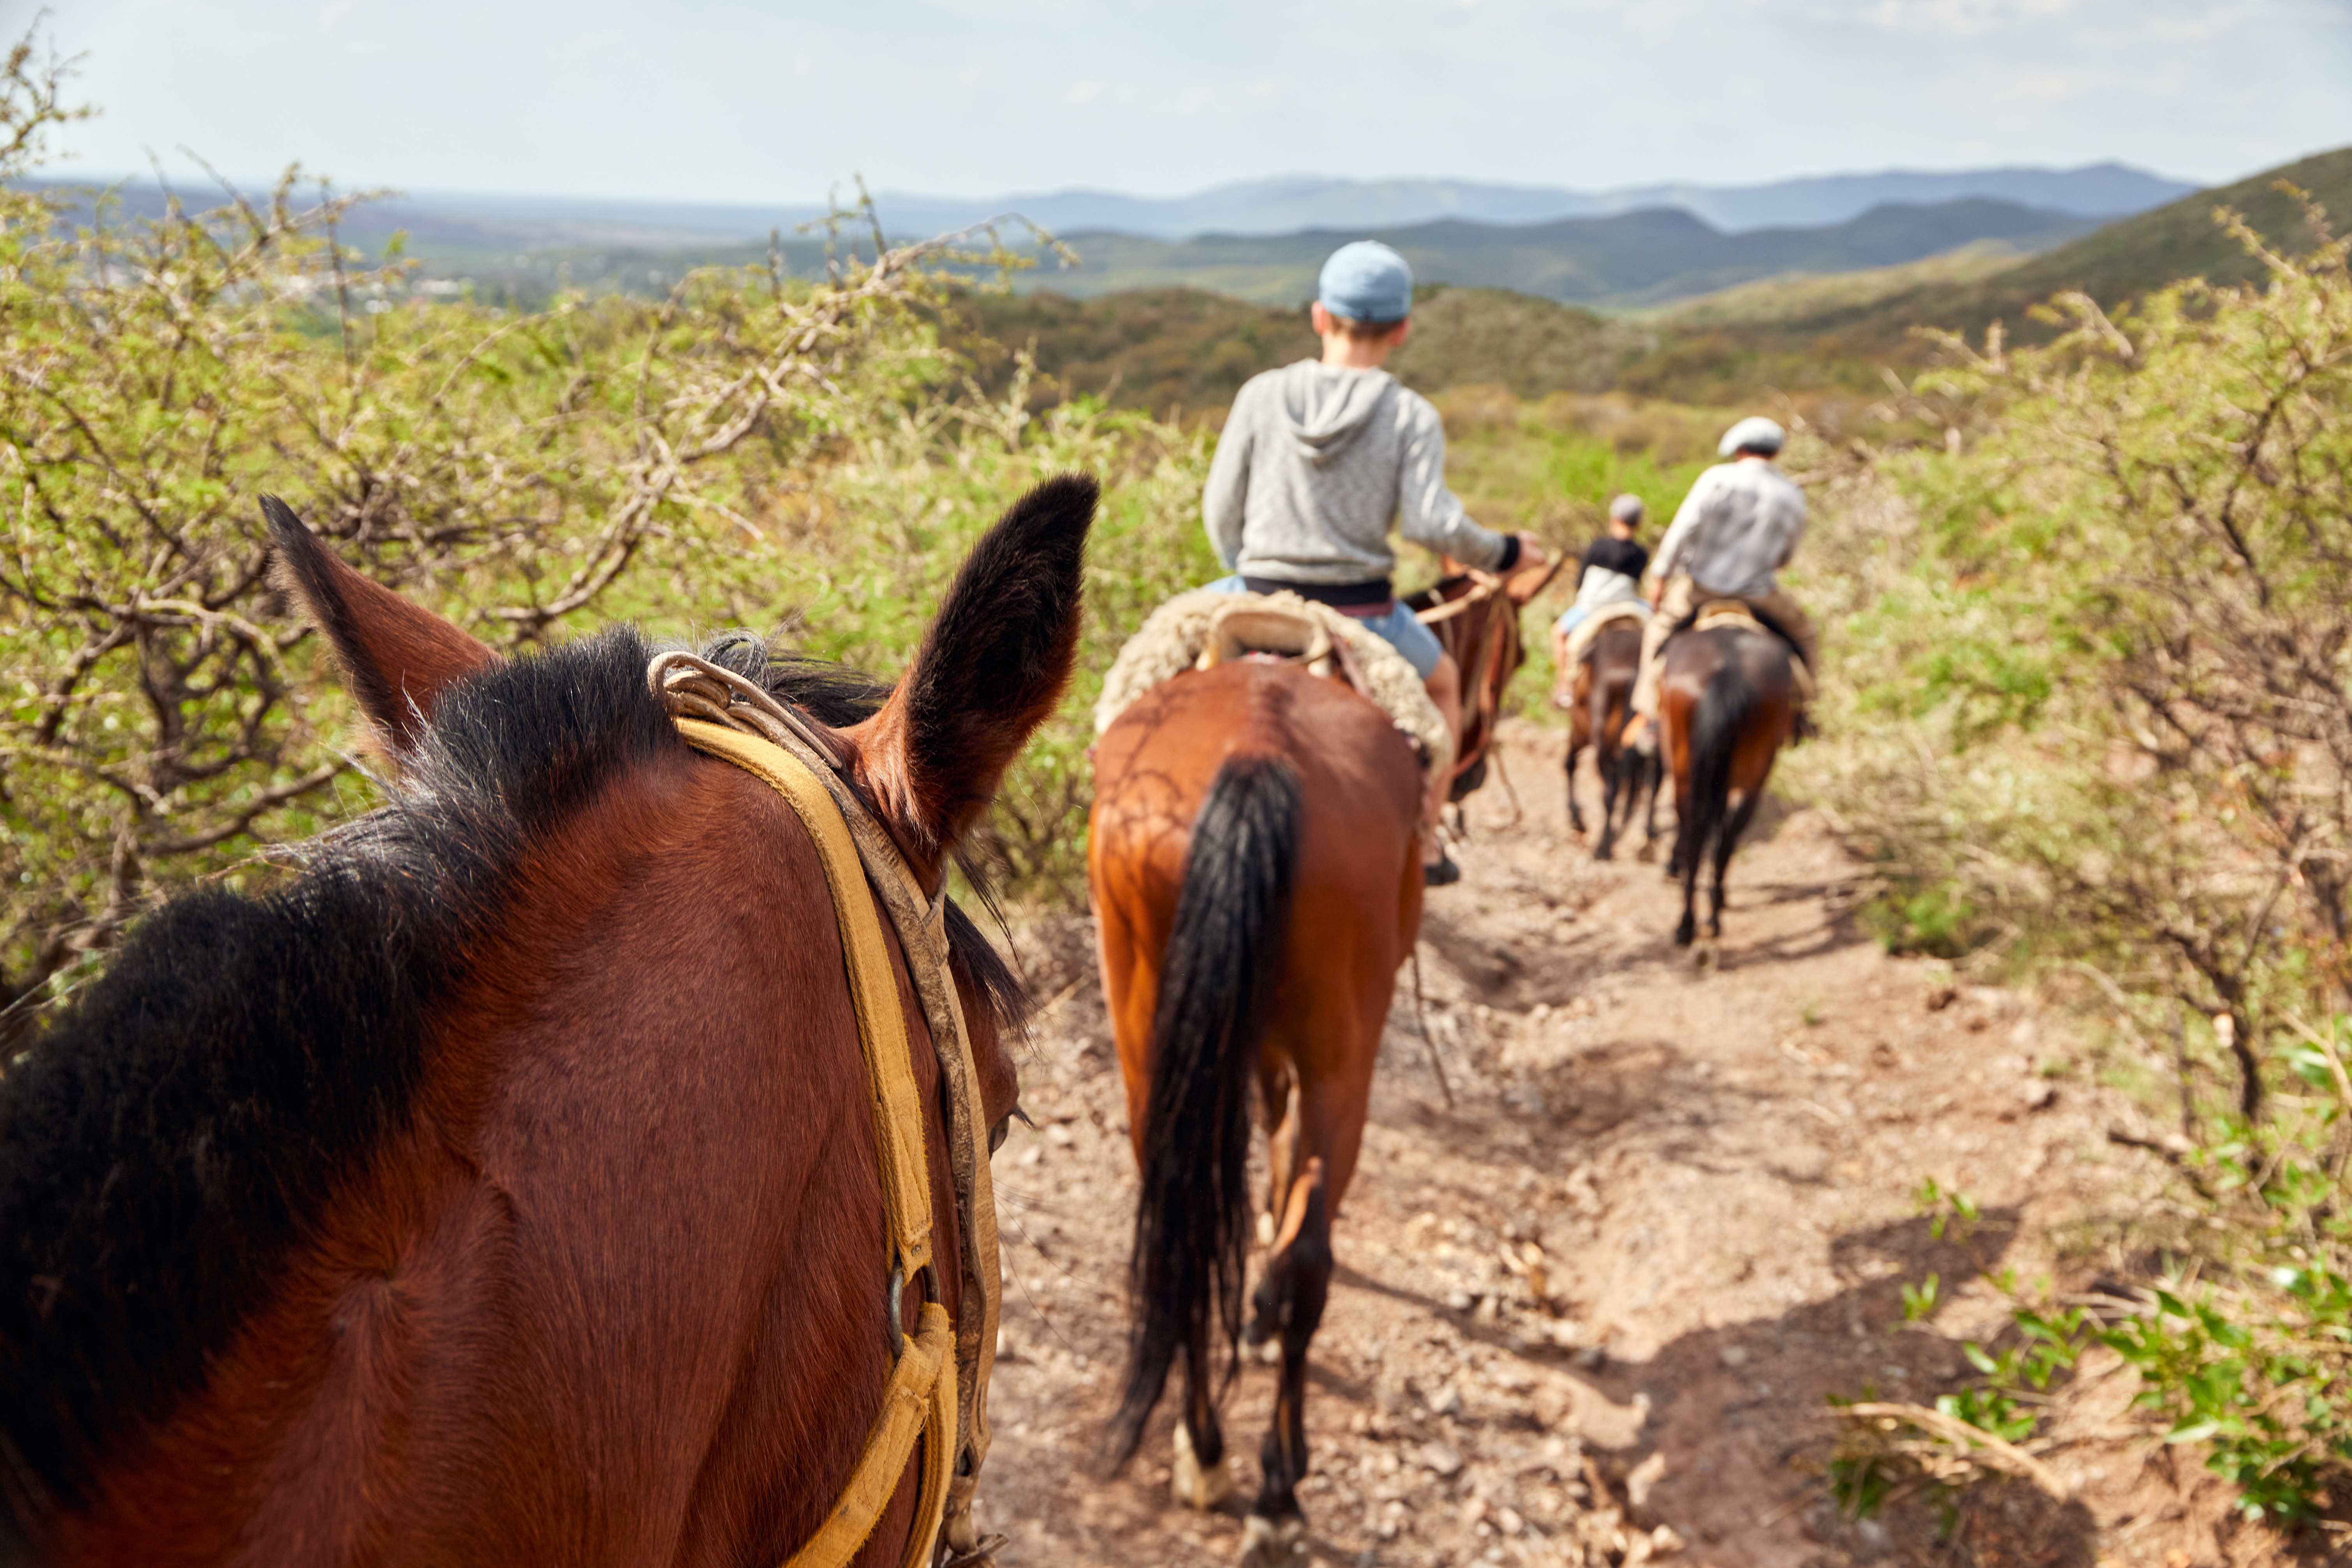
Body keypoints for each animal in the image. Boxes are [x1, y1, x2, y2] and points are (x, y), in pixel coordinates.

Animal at [1091, 663, 1420, 1568]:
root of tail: (1254, 746)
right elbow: (1284, 1169)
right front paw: (1264, 1313)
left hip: (1147, 1029)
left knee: (1179, 1233)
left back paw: (1203, 1452)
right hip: (1344, 1057)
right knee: (1308, 1256)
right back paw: (1275, 1488)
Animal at [1571, 616, 1665, 860]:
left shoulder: (1579, 730)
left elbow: (1569, 764)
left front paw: (1577, 820)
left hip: (1600, 739)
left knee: (1610, 791)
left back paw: (1602, 846)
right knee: (1652, 783)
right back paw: (1647, 838)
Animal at [1656, 616, 1797, 959]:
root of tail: (1726, 674)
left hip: (1688, 773)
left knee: (1697, 834)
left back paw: (1688, 923)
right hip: (1752, 774)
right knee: (1724, 838)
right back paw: (1709, 915)